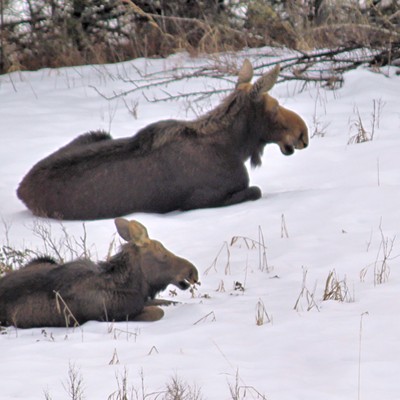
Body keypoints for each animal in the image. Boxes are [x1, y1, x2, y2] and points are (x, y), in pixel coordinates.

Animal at [0, 219, 199, 328]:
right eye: (163, 255)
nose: (192, 272)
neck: (133, 286)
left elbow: (168, 302)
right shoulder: (111, 316)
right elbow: (157, 312)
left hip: (44, 259)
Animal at [17, 60, 308, 219]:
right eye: (274, 106)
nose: (302, 133)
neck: (237, 148)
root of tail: (20, 189)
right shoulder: (198, 201)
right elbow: (255, 191)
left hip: (97, 133)